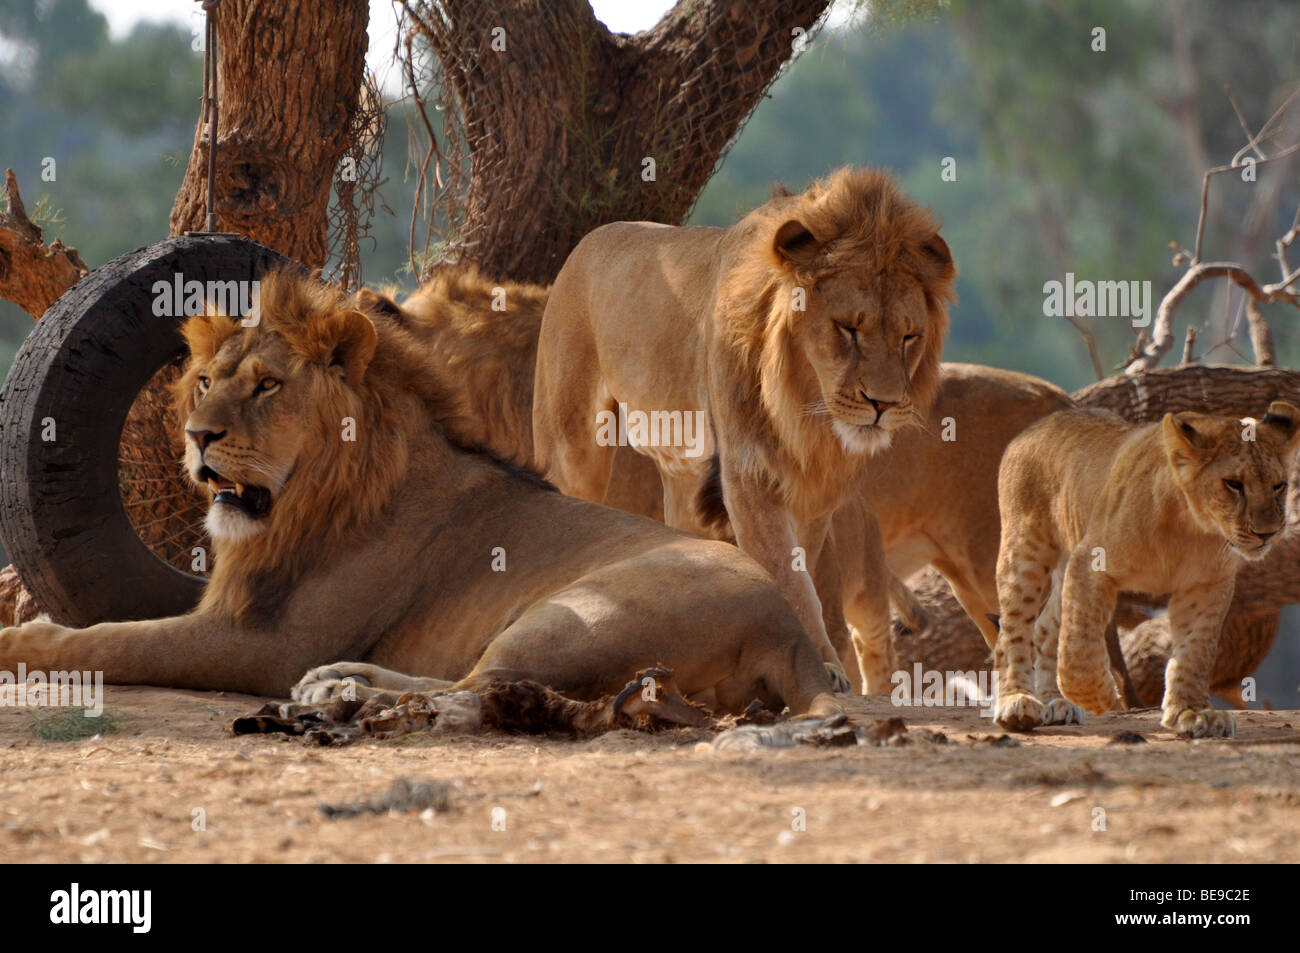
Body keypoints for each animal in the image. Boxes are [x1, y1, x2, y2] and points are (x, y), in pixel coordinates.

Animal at [0, 270, 840, 721]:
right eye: (205, 381)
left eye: (268, 386)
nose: (197, 436)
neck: (314, 497)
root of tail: (792, 629)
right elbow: (119, 627)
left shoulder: (265, 642)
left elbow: (115, 639)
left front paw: (22, 640)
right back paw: (339, 683)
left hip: (580, 610)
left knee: (478, 688)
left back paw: (339, 687)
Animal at [532, 168, 956, 691]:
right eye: (847, 329)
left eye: (909, 337)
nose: (885, 404)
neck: (807, 414)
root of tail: (592, 237)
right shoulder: (748, 473)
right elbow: (788, 576)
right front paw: (823, 664)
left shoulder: (812, 494)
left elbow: (803, 568)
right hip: (573, 444)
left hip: (683, 476)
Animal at [992, 401, 1300, 738]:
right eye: (1233, 484)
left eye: (1279, 486)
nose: (1268, 533)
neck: (1188, 525)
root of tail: (1034, 427)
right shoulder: (1090, 561)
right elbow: (1079, 647)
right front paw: (1101, 696)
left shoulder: (1205, 585)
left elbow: (1196, 650)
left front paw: (1193, 712)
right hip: (1026, 550)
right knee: (1014, 629)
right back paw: (1017, 703)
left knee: (1045, 628)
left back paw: (1054, 703)